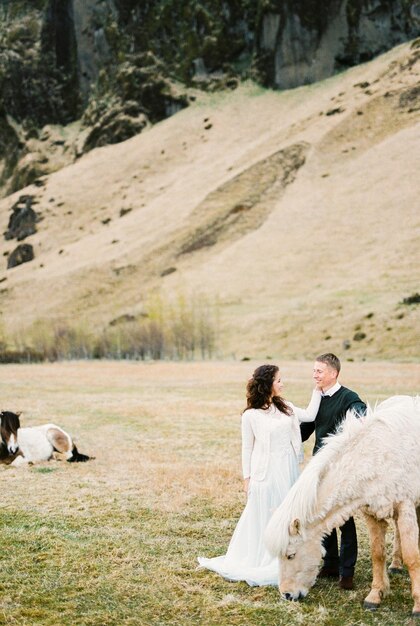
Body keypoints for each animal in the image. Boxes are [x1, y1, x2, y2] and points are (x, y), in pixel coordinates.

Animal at [266, 394, 420, 616]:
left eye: (290, 555)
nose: (287, 595)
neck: (373, 458)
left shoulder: (405, 506)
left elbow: (412, 557)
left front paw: (417, 605)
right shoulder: (372, 513)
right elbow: (377, 554)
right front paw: (375, 595)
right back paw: (395, 564)